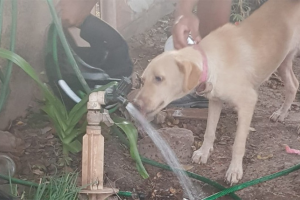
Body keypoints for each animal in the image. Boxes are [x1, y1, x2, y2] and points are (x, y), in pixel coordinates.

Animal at [134, 0, 300, 184]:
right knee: (293, 84)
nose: (136, 104)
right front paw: (204, 152)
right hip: (283, 62)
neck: (212, 61)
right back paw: (281, 113)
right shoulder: (215, 100)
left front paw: (234, 170)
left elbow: (238, 144)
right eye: (142, 81)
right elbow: (209, 131)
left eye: (159, 78)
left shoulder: (248, 101)